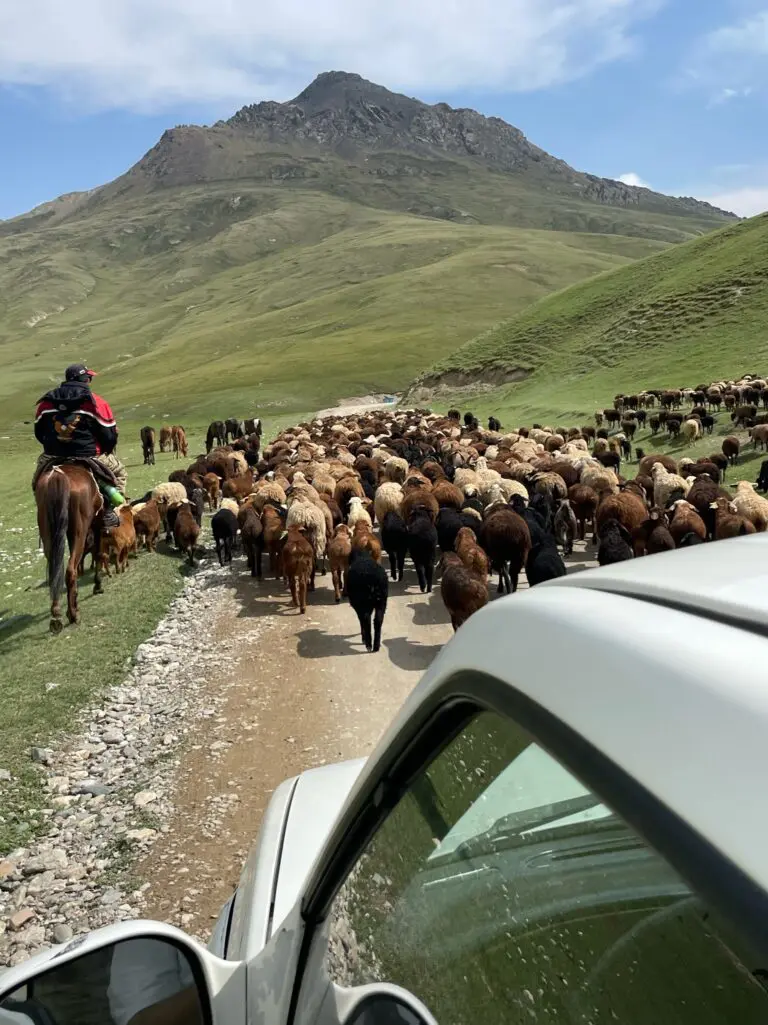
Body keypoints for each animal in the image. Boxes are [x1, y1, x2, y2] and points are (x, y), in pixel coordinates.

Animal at [35, 465, 104, 631]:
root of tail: (57, 476)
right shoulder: (98, 524)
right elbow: (98, 553)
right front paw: (98, 585)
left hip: (49, 533)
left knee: (55, 571)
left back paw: (56, 616)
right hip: (79, 531)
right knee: (70, 570)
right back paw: (73, 614)